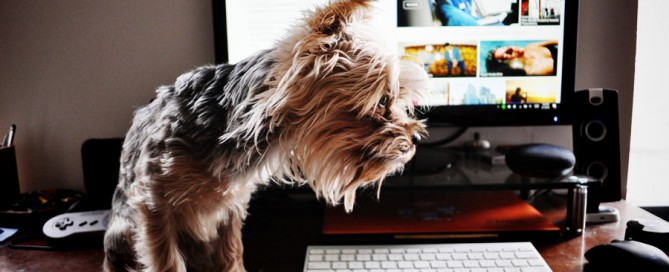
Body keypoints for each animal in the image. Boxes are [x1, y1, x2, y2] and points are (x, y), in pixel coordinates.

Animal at [102, 1, 430, 270]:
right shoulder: (154, 206)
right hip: (122, 233)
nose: (415, 141)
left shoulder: (230, 207)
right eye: (383, 101)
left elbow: (231, 255)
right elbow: (166, 261)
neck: (227, 129)